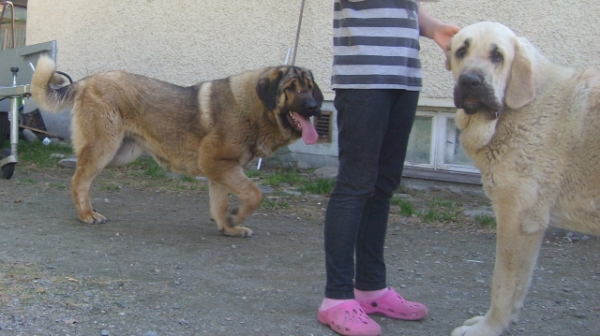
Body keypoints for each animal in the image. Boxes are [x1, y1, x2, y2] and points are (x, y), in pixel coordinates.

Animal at [31, 56, 324, 238]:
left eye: (310, 88)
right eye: (291, 88)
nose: (314, 107)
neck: (253, 107)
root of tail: (86, 81)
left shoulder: (221, 170)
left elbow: (220, 204)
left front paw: (228, 227)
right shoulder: (219, 166)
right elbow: (254, 194)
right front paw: (236, 217)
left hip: (117, 153)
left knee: (82, 175)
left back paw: (88, 209)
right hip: (105, 146)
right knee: (79, 179)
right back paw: (85, 215)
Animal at [446, 21, 600, 336]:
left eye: (498, 56)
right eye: (461, 51)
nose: (470, 81)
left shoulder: (518, 219)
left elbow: (503, 284)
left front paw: (489, 327)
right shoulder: (528, 226)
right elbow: (518, 285)